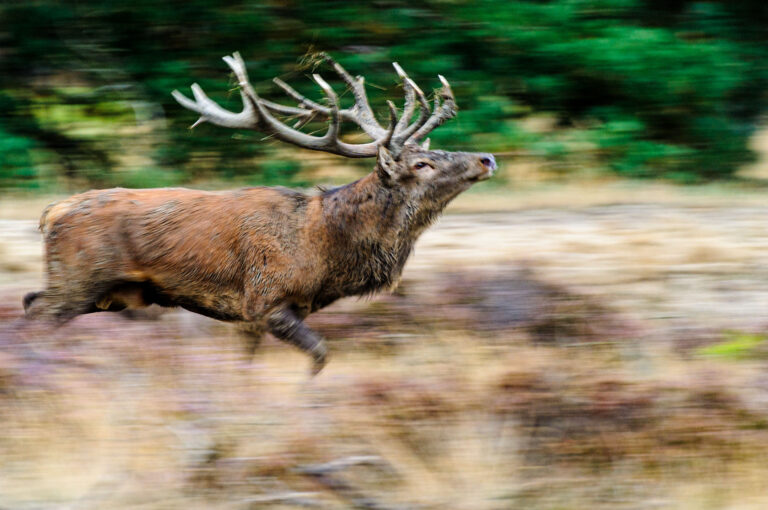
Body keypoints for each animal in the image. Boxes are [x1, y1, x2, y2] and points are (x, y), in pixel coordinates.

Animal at [22, 53, 498, 372]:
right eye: (422, 164)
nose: (487, 158)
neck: (324, 250)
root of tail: (50, 213)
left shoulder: (255, 314)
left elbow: (247, 364)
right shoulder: (265, 298)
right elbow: (321, 354)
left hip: (100, 292)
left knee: (29, 301)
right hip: (80, 277)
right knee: (39, 314)